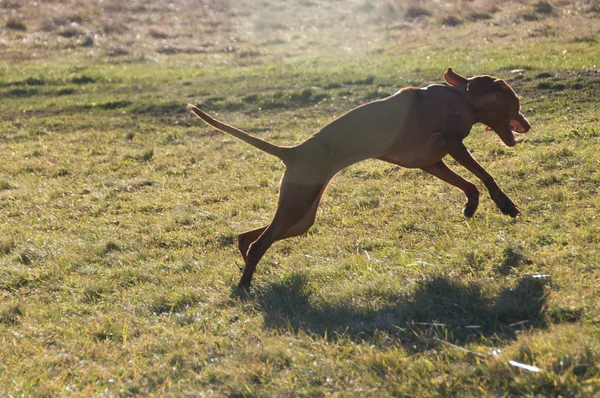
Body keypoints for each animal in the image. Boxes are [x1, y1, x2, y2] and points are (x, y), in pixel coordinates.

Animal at [189, 67, 528, 288]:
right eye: (517, 102)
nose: (527, 124)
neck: (462, 97)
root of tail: (293, 152)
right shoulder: (451, 143)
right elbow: (485, 176)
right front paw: (506, 204)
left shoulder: (431, 161)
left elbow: (469, 184)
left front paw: (471, 205)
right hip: (297, 206)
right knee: (260, 243)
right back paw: (244, 287)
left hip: (301, 216)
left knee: (249, 238)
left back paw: (246, 265)